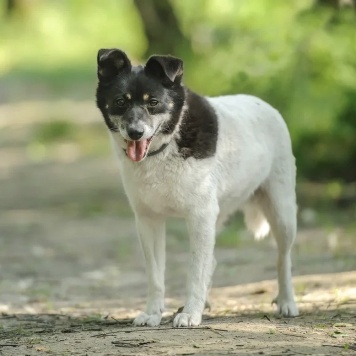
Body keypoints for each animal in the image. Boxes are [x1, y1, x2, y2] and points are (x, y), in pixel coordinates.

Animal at [95, 48, 298, 326]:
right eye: (120, 102)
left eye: (153, 102)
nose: (136, 132)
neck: (165, 147)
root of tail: (266, 105)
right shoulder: (148, 220)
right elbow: (156, 275)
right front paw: (152, 313)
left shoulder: (200, 216)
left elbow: (195, 270)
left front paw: (191, 313)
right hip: (220, 212)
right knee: (212, 260)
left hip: (281, 212)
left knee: (283, 258)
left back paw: (287, 302)